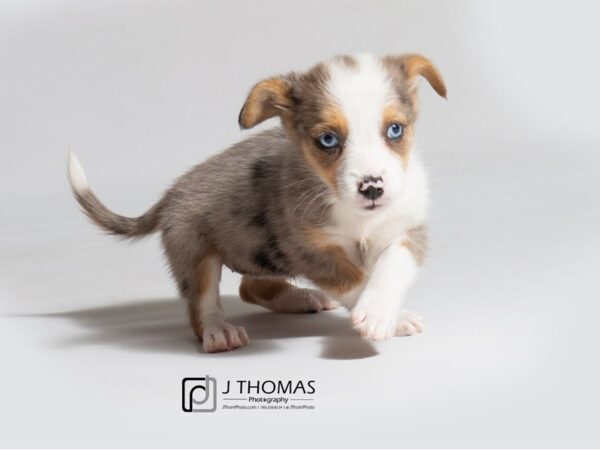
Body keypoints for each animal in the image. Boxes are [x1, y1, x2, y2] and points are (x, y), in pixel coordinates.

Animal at [70, 53, 446, 352]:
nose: (372, 188)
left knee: (250, 287)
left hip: (263, 252)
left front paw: (386, 314)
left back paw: (303, 298)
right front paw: (379, 317)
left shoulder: (408, 231)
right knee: (202, 306)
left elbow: (391, 268)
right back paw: (219, 332)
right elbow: (354, 279)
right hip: (196, 254)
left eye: (395, 130)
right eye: (327, 140)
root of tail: (173, 191)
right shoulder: (309, 249)